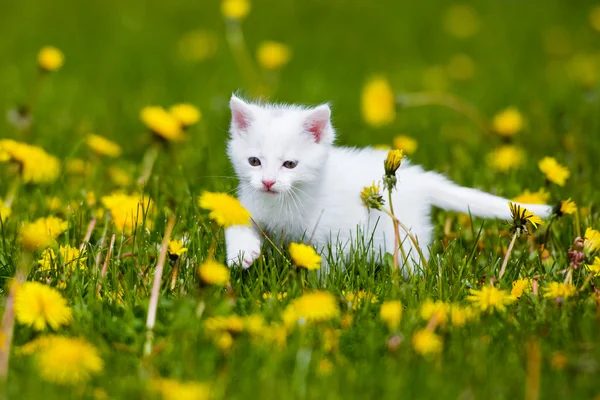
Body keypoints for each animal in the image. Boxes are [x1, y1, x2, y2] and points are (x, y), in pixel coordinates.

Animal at [225, 95, 552, 274]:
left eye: (290, 165)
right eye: (254, 161)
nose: (268, 181)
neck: (281, 202)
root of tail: (420, 177)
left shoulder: (336, 232)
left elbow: (328, 264)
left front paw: (319, 288)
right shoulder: (252, 202)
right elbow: (236, 222)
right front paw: (242, 253)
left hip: (403, 235)